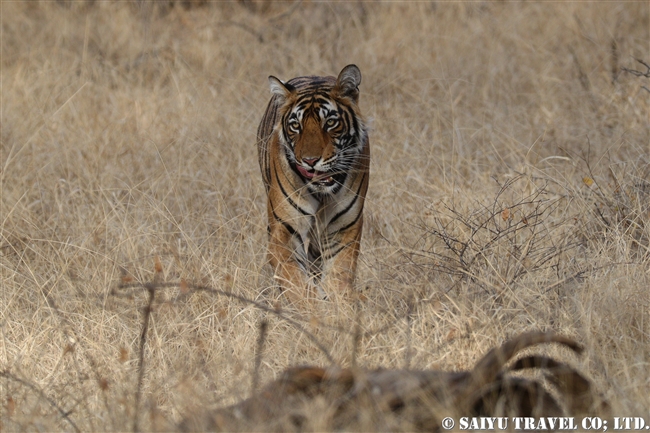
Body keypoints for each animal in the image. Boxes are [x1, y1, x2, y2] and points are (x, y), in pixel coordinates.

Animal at [256, 66, 370, 306]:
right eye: (295, 126)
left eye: (330, 123)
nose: (310, 161)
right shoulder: (285, 229)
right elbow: (295, 281)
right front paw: (311, 308)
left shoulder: (342, 228)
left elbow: (339, 274)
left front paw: (338, 307)